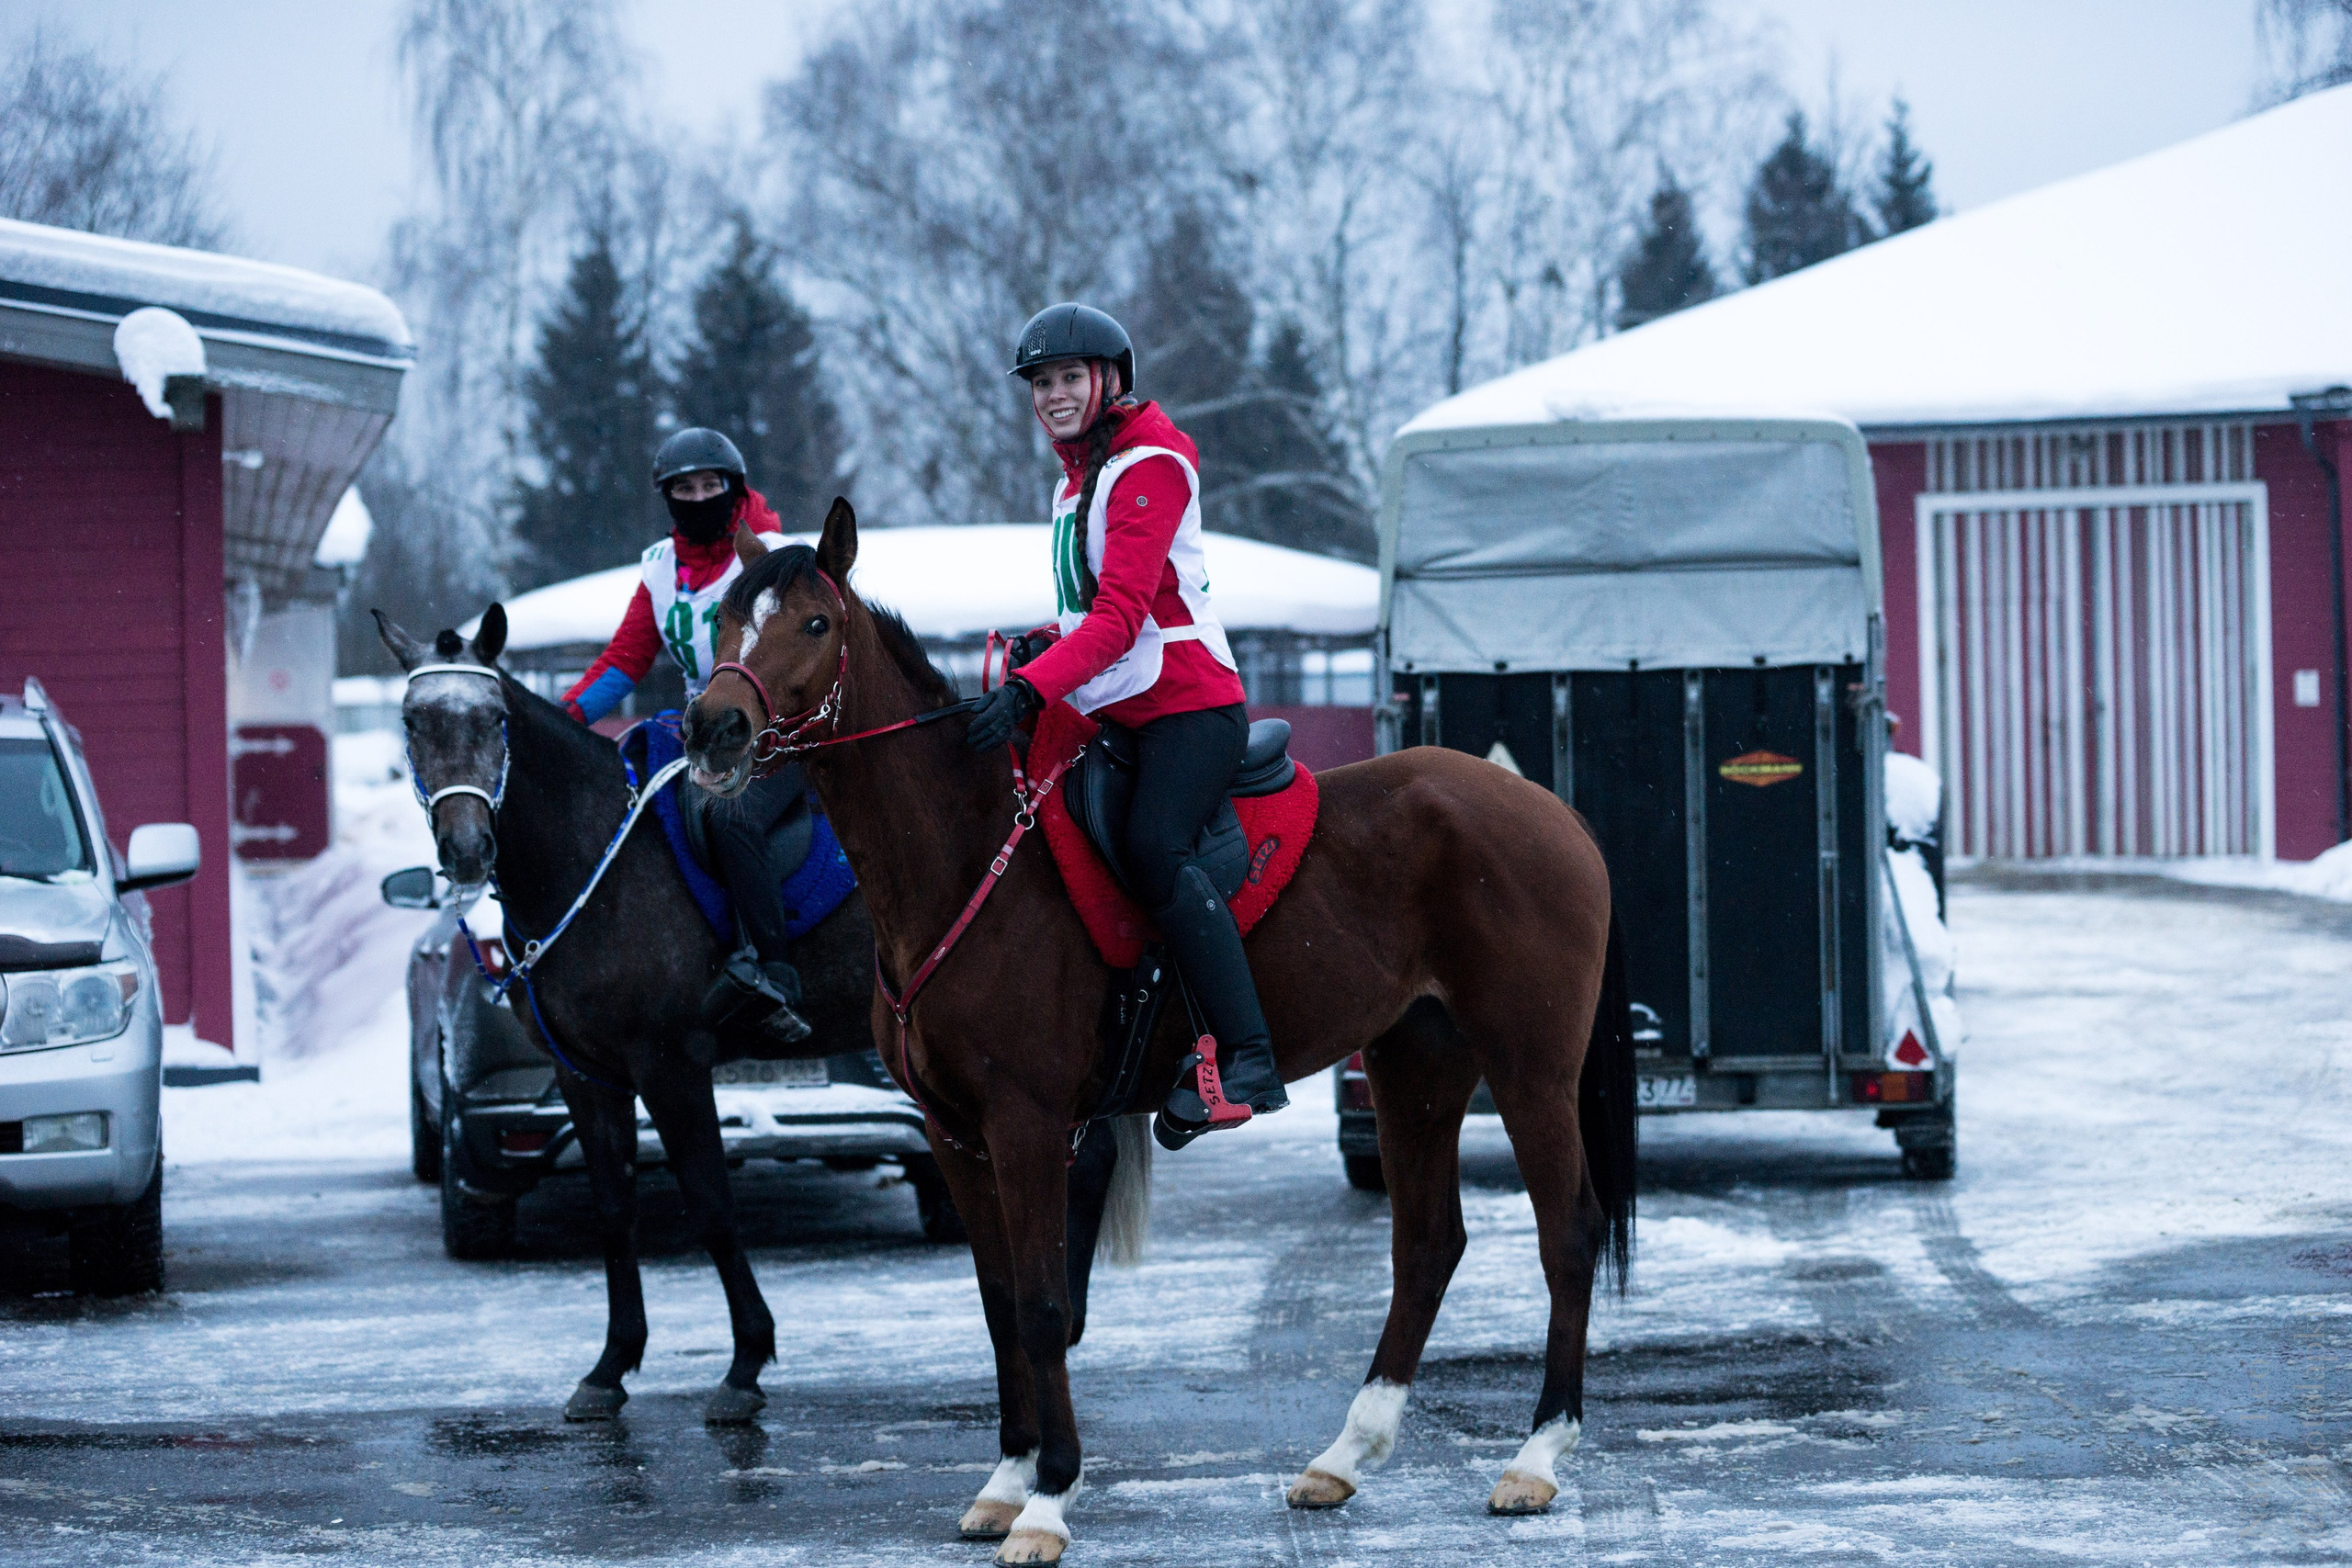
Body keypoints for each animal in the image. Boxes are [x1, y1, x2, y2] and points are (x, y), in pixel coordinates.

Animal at [377, 605, 889, 1425]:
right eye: (412, 720)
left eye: (494, 718)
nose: (466, 848)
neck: (591, 856)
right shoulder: (586, 1074)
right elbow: (615, 1210)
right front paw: (611, 1364)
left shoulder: (670, 1064)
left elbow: (710, 1204)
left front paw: (746, 1362)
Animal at [678, 500, 1637, 1566]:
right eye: (724, 622)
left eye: (813, 624)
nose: (713, 727)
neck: (970, 848)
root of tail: (1550, 812)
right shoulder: (955, 1133)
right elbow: (999, 1302)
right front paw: (1006, 1478)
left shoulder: (1027, 1124)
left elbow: (1044, 1305)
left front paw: (1048, 1498)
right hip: (1414, 1065)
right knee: (1428, 1243)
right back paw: (1346, 1453)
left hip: (1528, 1066)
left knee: (1568, 1232)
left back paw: (1537, 1456)